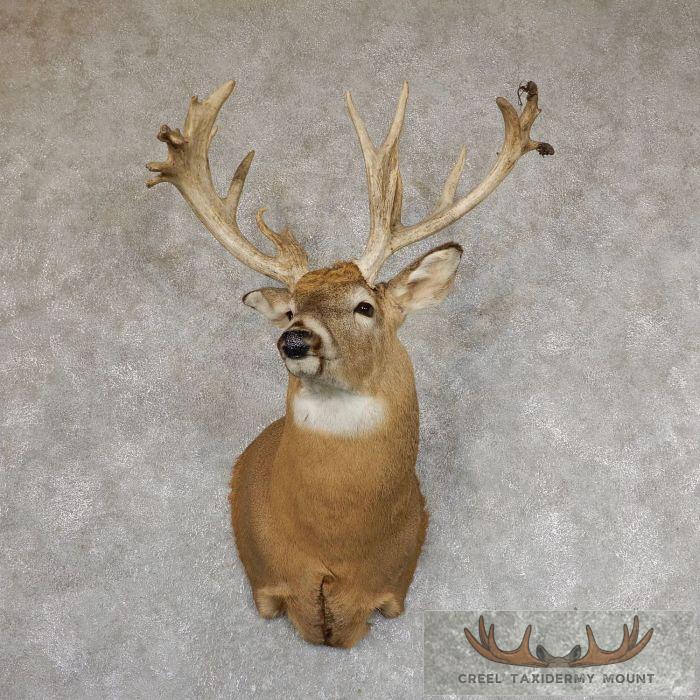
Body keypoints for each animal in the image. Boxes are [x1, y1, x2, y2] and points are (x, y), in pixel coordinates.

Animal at [146, 79, 553, 648]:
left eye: (365, 306)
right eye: (290, 309)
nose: (294, 340)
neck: (333, 547)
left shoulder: (393, 588)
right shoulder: (267, 584)